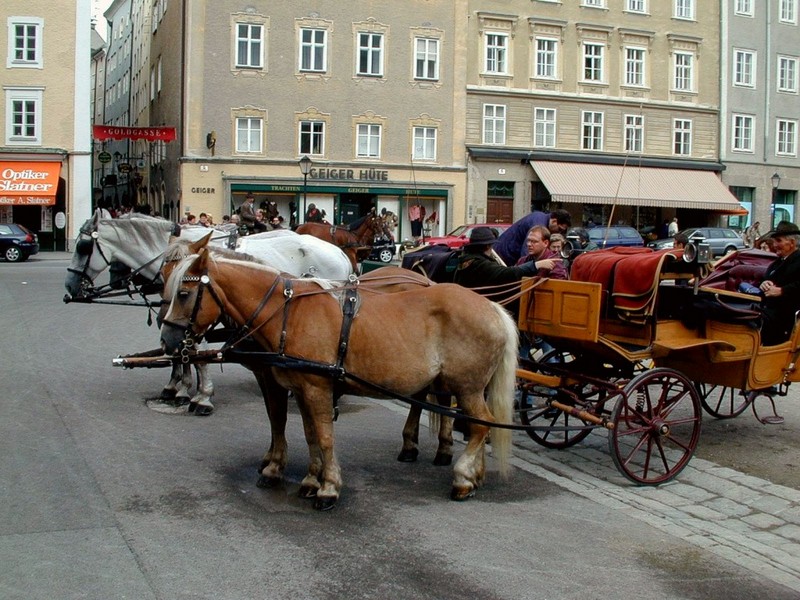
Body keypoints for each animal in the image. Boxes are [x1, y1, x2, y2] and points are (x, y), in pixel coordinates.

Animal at [67, 210, 354, 412]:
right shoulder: (178, 315)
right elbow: (179, 350)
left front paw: (200, 395)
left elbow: (196, 353)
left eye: (83, 247)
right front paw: (179, 387)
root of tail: (340, 252)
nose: (69, 289)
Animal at [161, 237, 520, 508]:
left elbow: (321, 435)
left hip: (468, 386)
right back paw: (472, 472)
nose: (168, 340)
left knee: (478, 426)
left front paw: (327, 486)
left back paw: (463, 476)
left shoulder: (314, 387)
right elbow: (308, 433)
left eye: (184, 293)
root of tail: (491, 307)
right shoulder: (300, 388)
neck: (287, 311)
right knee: (475, 422)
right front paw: (310, 478)